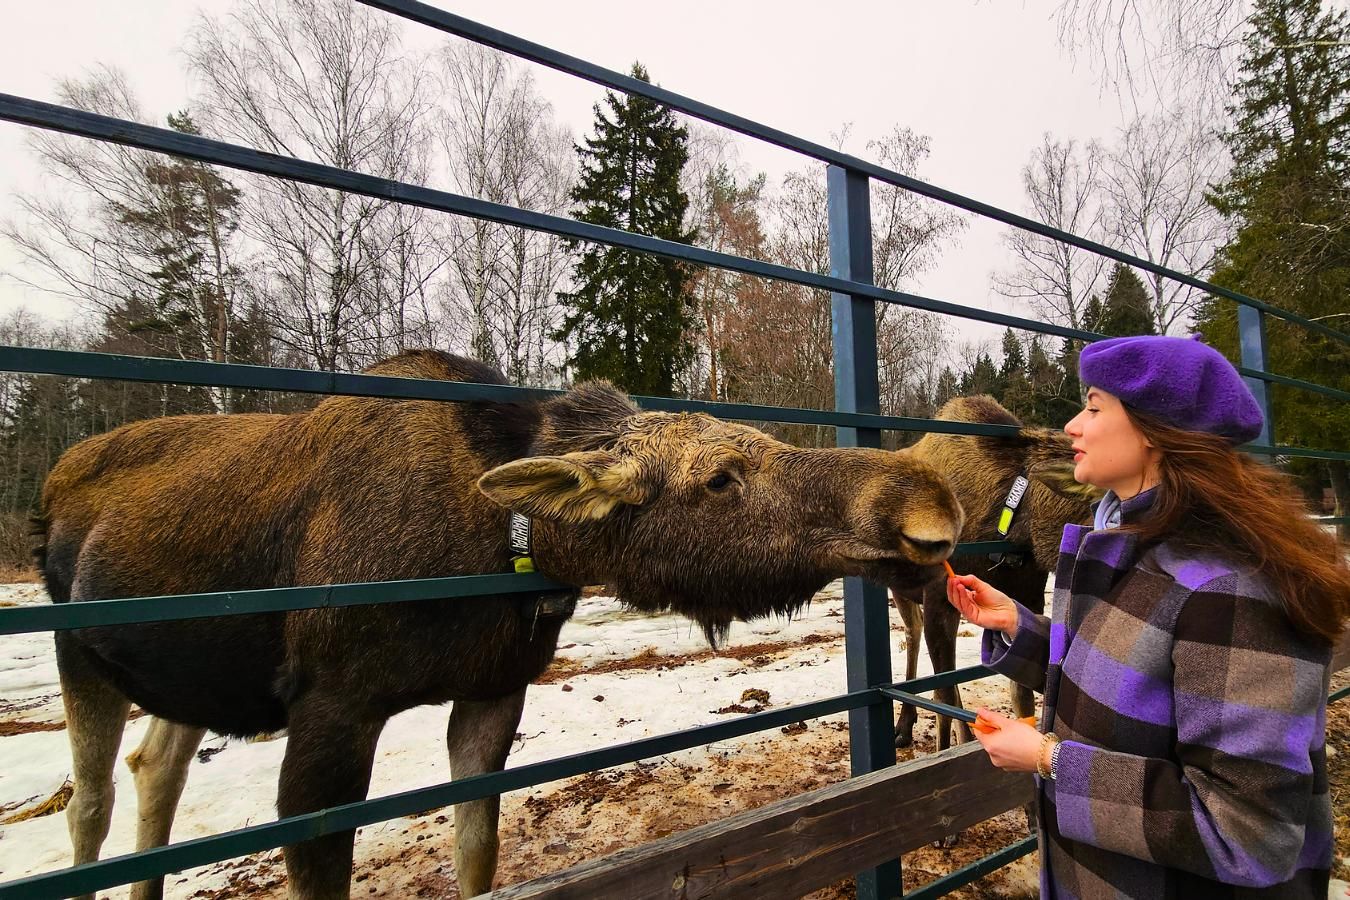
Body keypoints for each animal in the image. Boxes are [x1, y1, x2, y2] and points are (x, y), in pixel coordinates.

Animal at [36, 350, 966, 900]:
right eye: (720, 478)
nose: (928, 498)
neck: (502, 538)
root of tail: (49, 479)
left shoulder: (492, 694)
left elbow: (476, 857)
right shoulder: (333, 710)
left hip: (189, 680)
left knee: (155, 767)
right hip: (75, 651)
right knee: (90, 803)